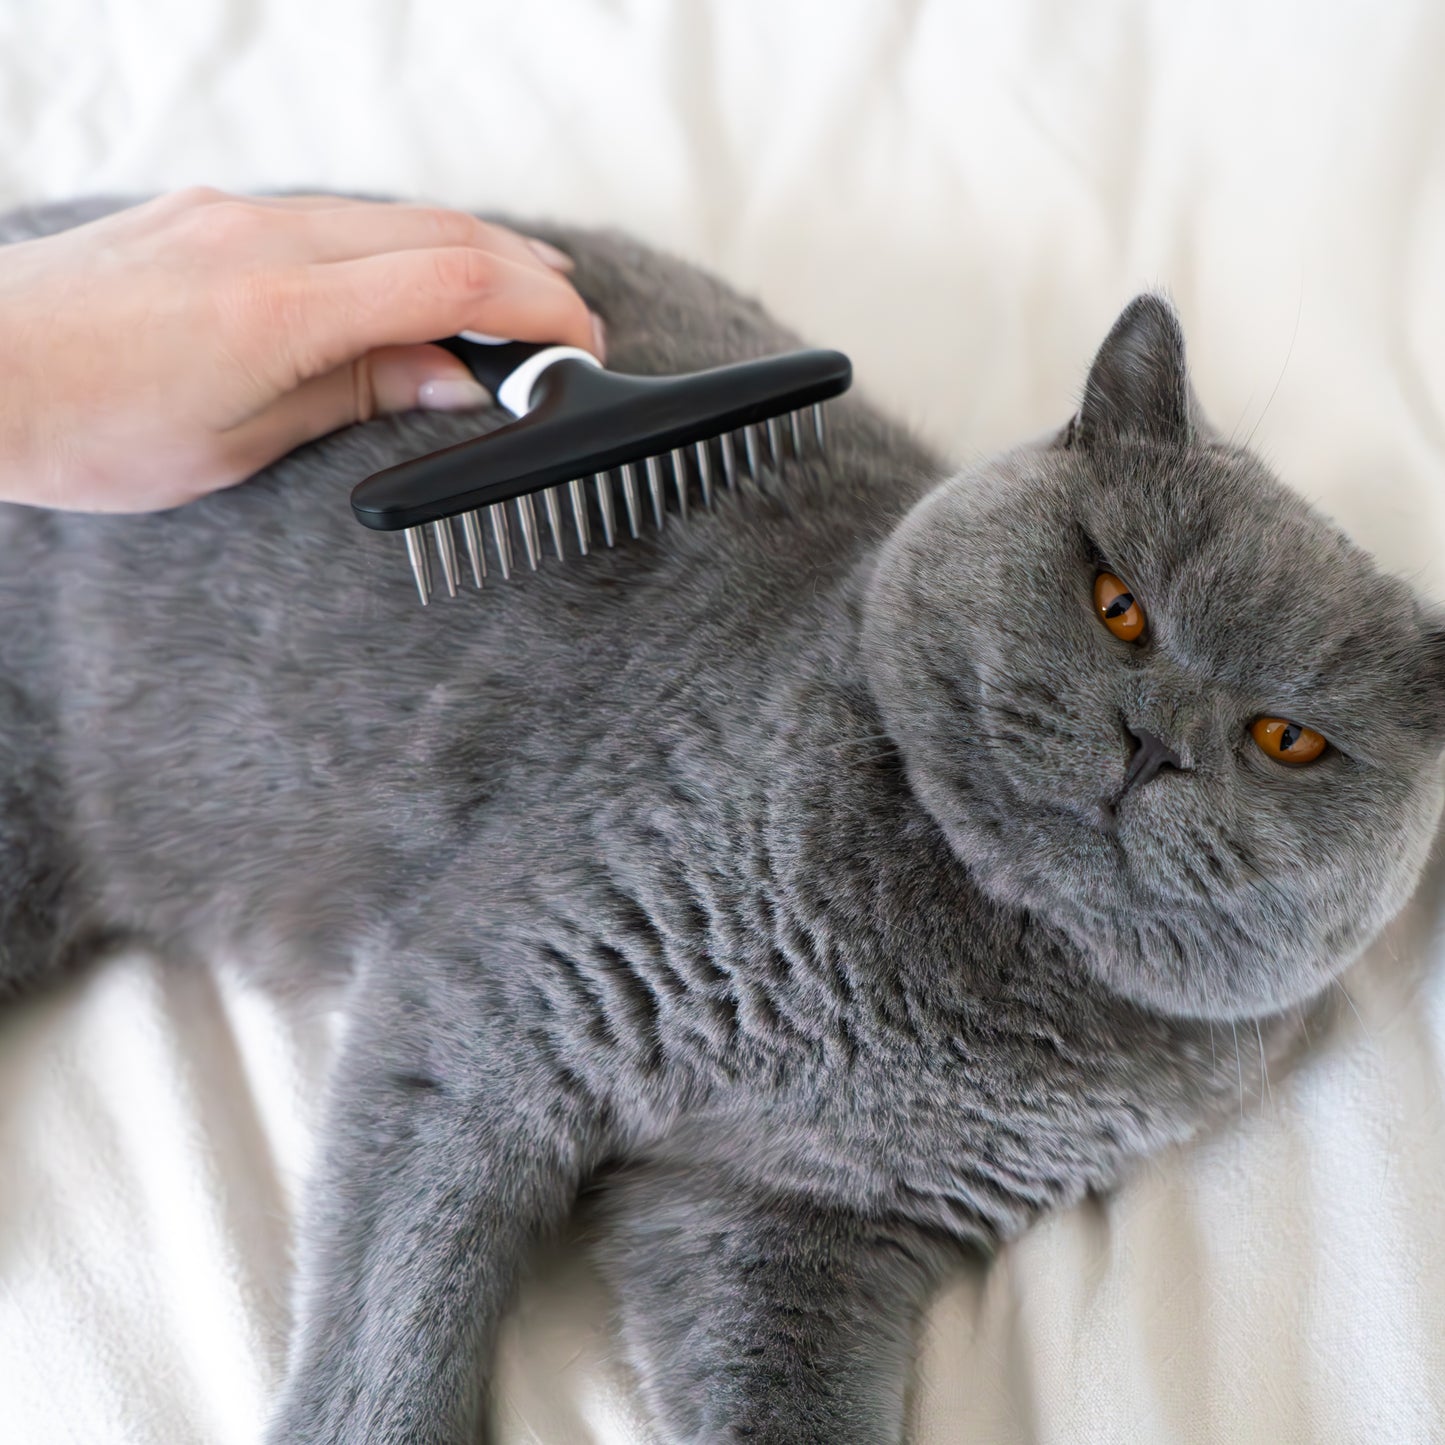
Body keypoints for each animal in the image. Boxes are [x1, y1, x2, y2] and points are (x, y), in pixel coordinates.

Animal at [1, 197, 1442, 1445]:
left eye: (1286, 739)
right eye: (1117, 603)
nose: (1157, 743)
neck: (945, 972)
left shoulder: (795, 1215)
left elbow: (789, 1391)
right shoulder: (491, 1004)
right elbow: (405, 1299)